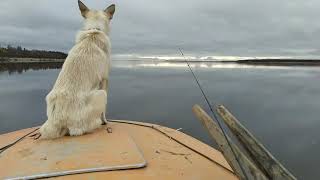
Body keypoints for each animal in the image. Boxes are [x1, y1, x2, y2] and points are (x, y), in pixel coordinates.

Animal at [37, 0, 115, 139]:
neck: (94, 31)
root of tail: (58, 120)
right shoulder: (105, 79)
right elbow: (104, 112)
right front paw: (105, 121)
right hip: (101, 94)